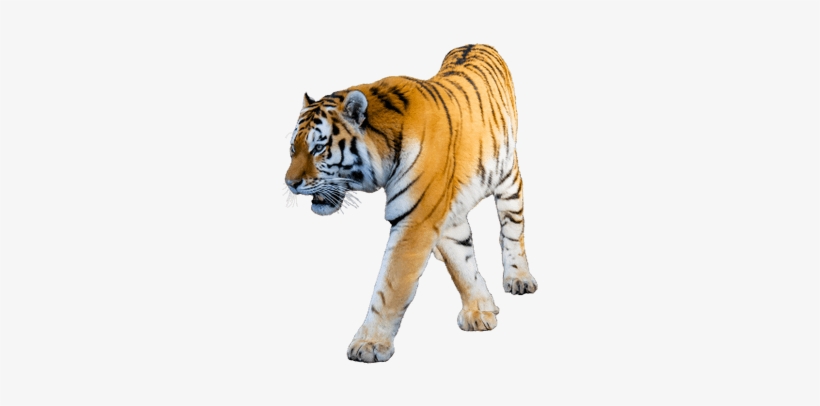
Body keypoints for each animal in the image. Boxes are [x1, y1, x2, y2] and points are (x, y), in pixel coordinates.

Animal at [285, 44, 537, 363]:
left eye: (318, 148)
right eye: (293, 149)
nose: (289, 183)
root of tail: (477, 43)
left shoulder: (416, 220)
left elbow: (390, 285)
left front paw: (369, 344)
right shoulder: (442, 215)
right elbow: (463, 264)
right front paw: (479, 309)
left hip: (508, 178)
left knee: (513, 230)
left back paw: (519, 278)